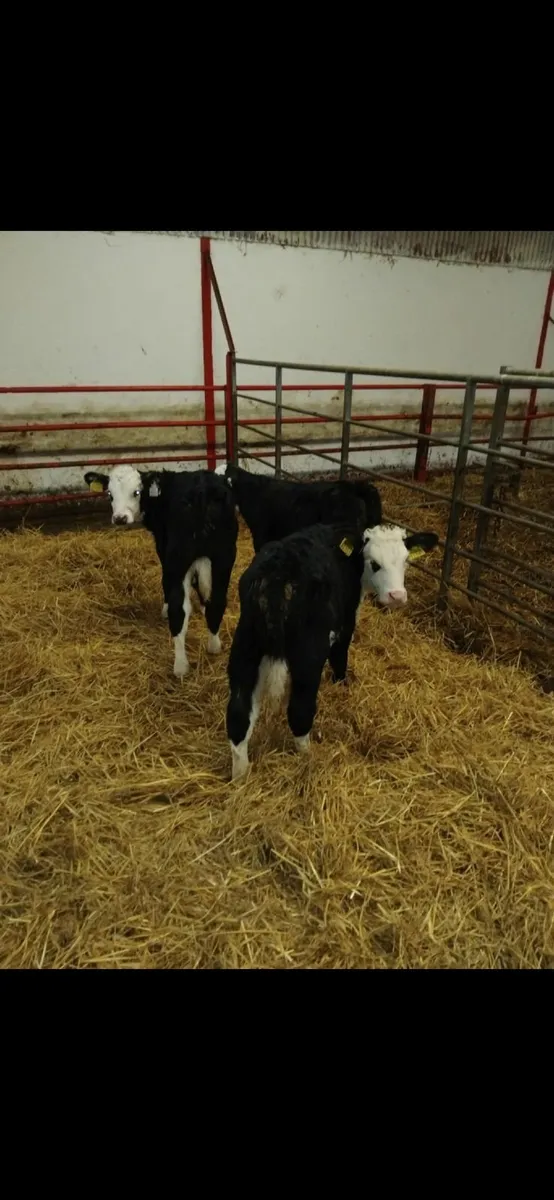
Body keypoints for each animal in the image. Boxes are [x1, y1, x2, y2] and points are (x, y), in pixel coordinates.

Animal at [84, 465, 238, 677]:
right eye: (109, 494)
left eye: (137, 492)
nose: (120, 518)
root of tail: (202, 491)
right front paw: (203, 607)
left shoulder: (163, 547)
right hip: (224, 556)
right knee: (218, 602)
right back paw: (214, 645)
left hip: (177, 558)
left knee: (178, 611)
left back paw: (180, 666)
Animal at [225, 520, 438, 779]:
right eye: (374, 563)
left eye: (406, 560)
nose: (396, 596)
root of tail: (278, 574)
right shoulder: (345, 624)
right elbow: (339, 658)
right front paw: (341, 685)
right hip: (308, 655)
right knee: (300, 711)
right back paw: (307, 757)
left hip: (245, 647)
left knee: (238, 716)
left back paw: (240, 776)